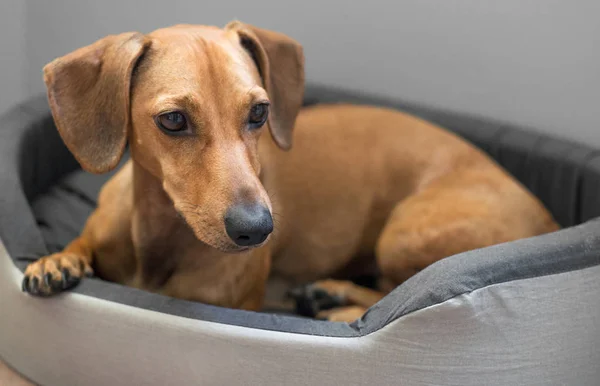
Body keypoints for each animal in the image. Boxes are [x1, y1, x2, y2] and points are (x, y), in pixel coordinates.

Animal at [22, 21, 556, 322]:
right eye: (173, 120)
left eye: (259, 112)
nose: (257, 230)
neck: (160, 235)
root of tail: (549, 218)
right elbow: (80, 244)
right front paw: (56, 261)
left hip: (402, 233)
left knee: (398, 291)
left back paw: (337, 304)